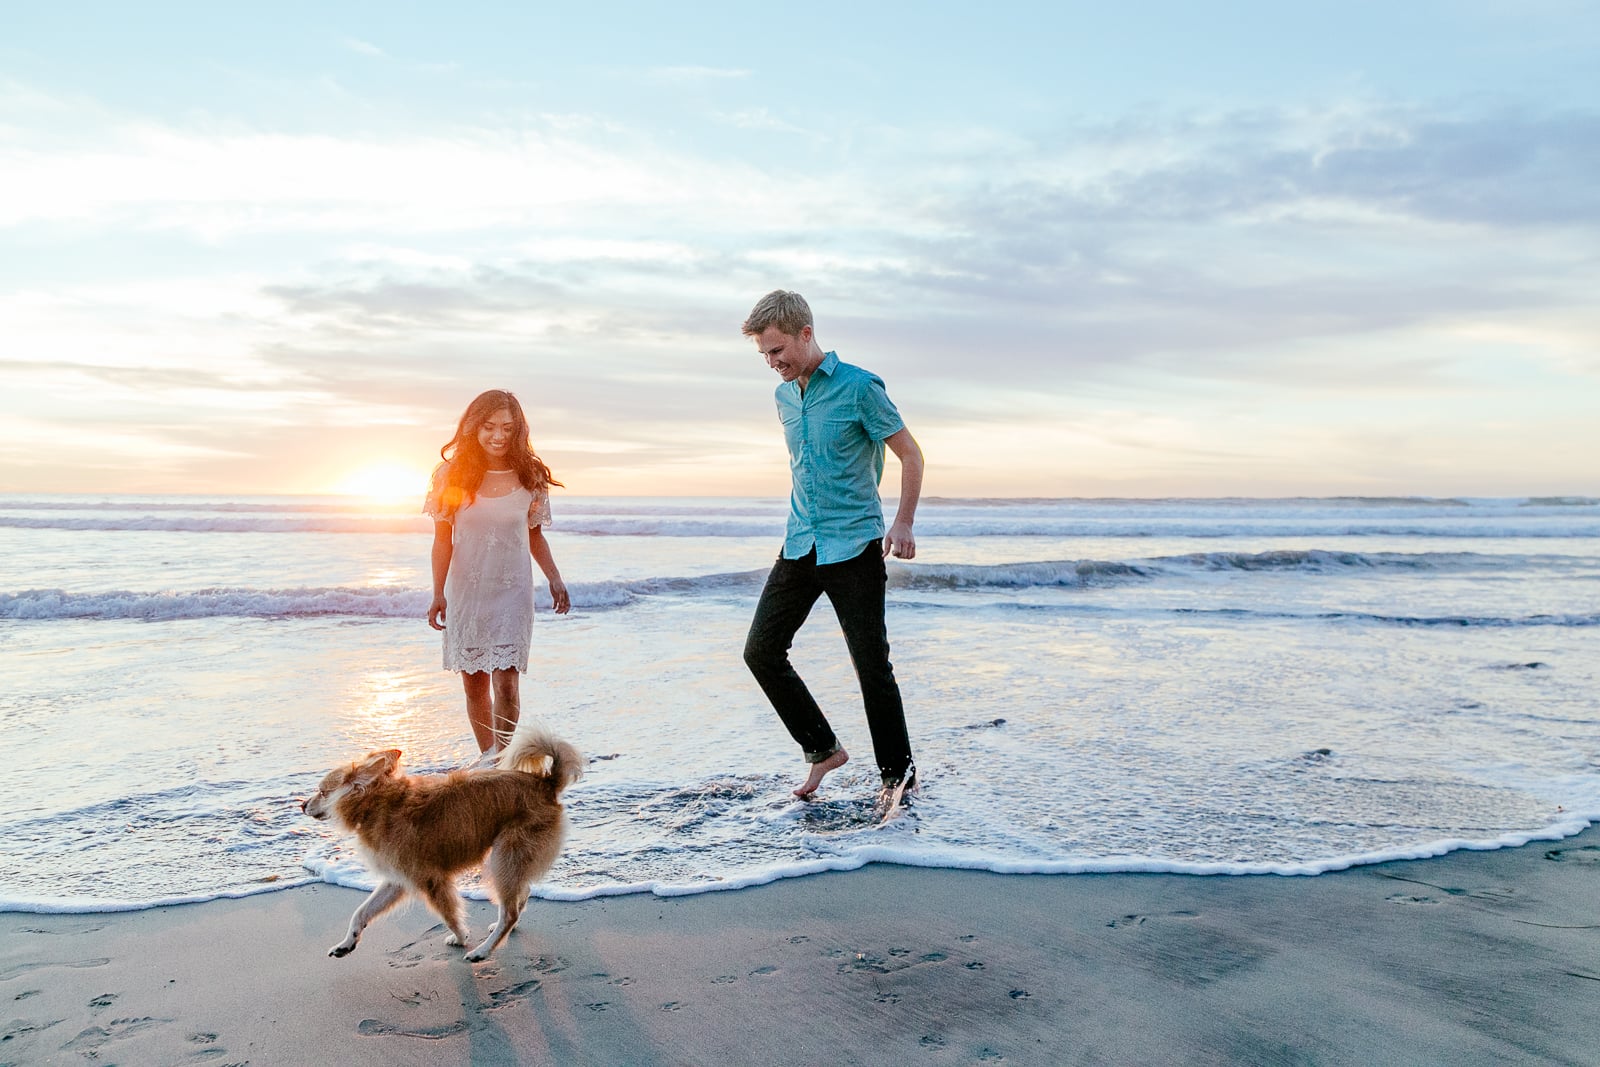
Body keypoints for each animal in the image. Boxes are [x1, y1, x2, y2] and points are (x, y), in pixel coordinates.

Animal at [300, 729, 582, 966]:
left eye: (322, 792)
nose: (301, 805)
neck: (379, 805)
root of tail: (546, 783)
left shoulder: (431, 881)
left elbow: (449, 915)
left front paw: (460, 937)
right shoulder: (397, 880)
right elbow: (361, 912)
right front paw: (346, 944)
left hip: (503, 857)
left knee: (510, 911)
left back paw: (483, 950)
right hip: (511, 860)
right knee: (520, 897)